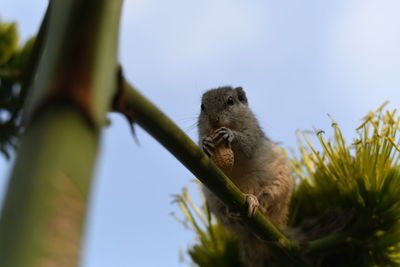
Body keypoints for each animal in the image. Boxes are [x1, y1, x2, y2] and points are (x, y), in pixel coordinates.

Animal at [198, 87, 294, 266]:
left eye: (230, 101)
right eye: (202, 107)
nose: (214, 120)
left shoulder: (253, 133)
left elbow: (248, 145)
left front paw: (230, 134)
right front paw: (205, 145)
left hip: (277, 186)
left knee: (267, 201)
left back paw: (254, 201)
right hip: (213, 198)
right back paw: (232, 211)